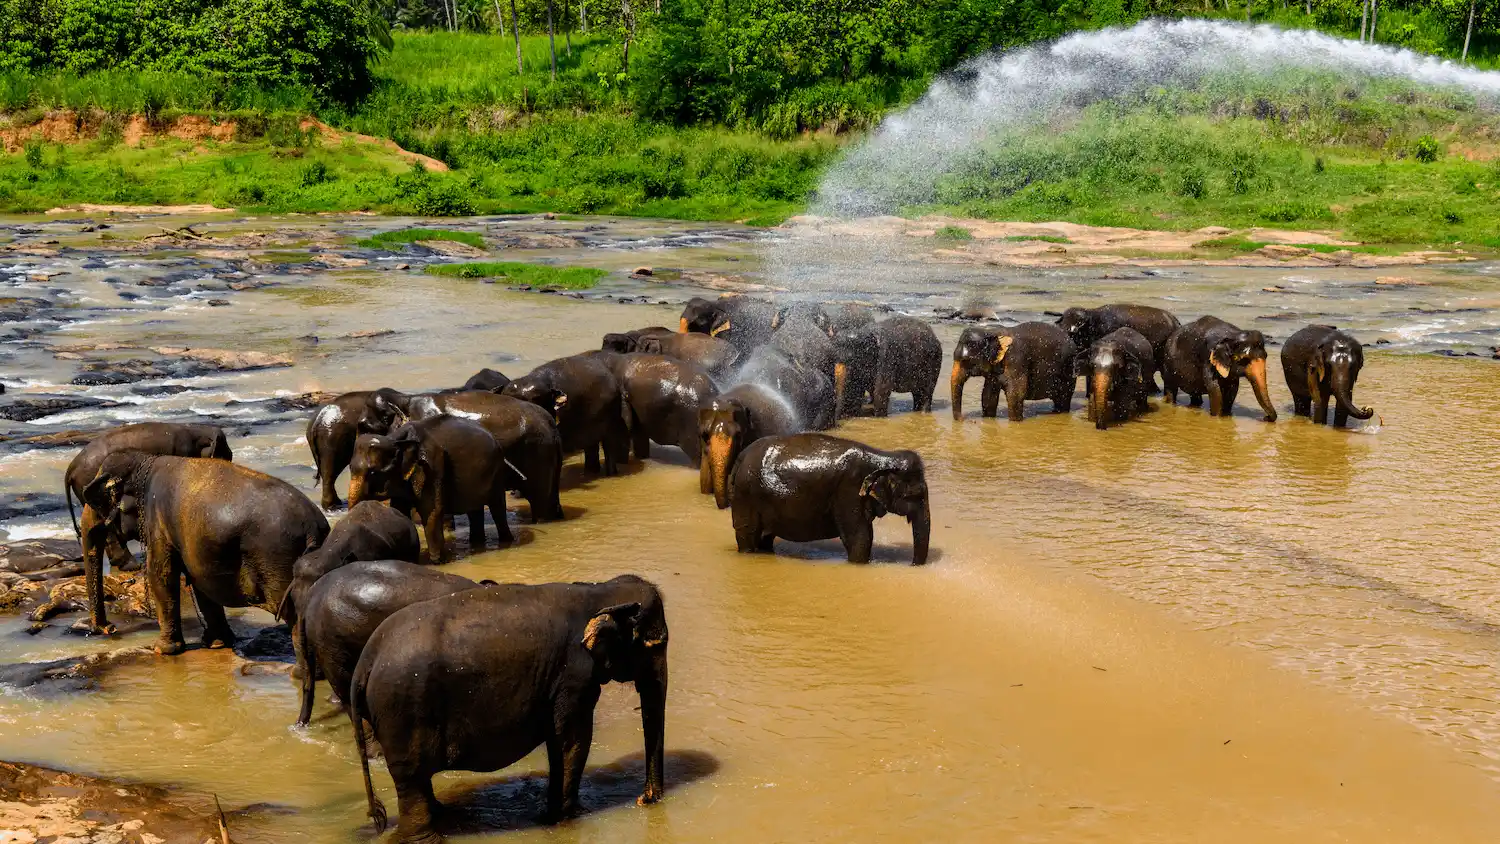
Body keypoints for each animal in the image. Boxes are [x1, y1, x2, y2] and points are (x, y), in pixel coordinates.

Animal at [78, 452, 329, 652]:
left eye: (96, 503)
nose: (109, 628)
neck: (146, 460)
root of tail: (312, 527)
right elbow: (198, 582)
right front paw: (217, 644)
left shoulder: (158, 522)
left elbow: (160, 574)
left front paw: (161, 650)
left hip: (278, 559)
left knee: (294, 618)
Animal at [349, 416, 512, 564]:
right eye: (350, 468)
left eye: (373, 473)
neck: (395, 438)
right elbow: (399, 509)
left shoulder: (432, 466)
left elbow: (431, 511)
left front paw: (438, 562)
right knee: (474, 510)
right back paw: (476, 544)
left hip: (496, 473)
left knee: (497, 508)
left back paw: (506, 542)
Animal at [350, 575, 669, 841]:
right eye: (657, 644)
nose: (645, 800)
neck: (600, 591)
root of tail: (365, 661)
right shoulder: (574, 676)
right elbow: (573, 740)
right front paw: (565, 818)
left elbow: (559, 741)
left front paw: (552, 815)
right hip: (403, 711)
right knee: (412, 777)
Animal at [502, 353, 630, 476]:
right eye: (506, 397)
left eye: (536, 398)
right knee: (591, 448)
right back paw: (590, 473)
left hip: (611, 418)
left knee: (609, 447)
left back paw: (611, 474)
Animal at [731, 433, 930, 565]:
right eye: (916, 495)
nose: (912, 565)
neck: (884, 457)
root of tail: (741, 456)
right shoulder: (848, 490)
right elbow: (860, 537)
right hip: (745, 495)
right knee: (748, 534)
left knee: (766, 538)